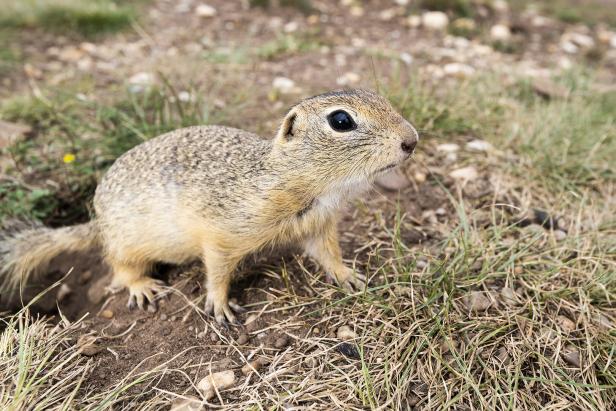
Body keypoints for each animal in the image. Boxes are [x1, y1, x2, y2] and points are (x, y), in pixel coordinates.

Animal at [1, 90, 418, 326]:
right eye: (341, 120)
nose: (412, 139)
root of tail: (96, 223)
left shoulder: (318, 225)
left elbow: (328, 255)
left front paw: (351, 276)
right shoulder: (222, 232)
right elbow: (217, 269)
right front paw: (219, 305)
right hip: (125, 242)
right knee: (119, 267)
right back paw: (142, 287)